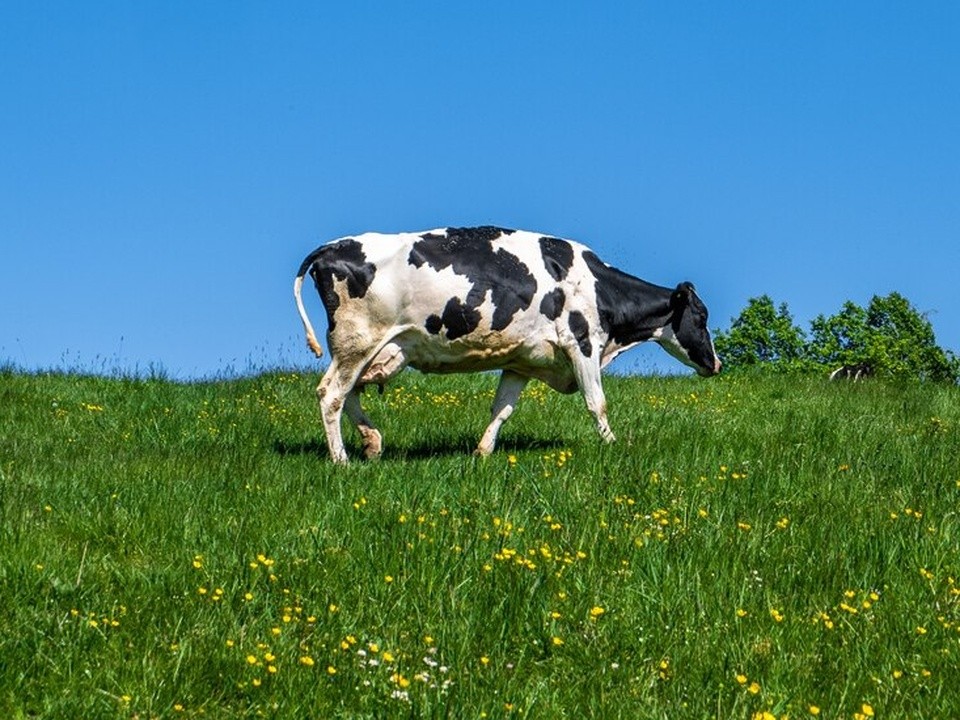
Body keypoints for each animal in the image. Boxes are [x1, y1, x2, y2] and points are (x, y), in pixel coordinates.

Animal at [292, 225, 720, 464]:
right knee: (331, 394)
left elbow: (502, 409)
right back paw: (342, 459)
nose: (716, 364)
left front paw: (482, 452)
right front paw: (614, 445)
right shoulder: (582, 344)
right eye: (701, 316)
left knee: (348, 393)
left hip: (369, 349)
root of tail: (330, 247)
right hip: (357, 341)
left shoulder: (522, 361)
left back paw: (372, 442)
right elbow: (597, 402)